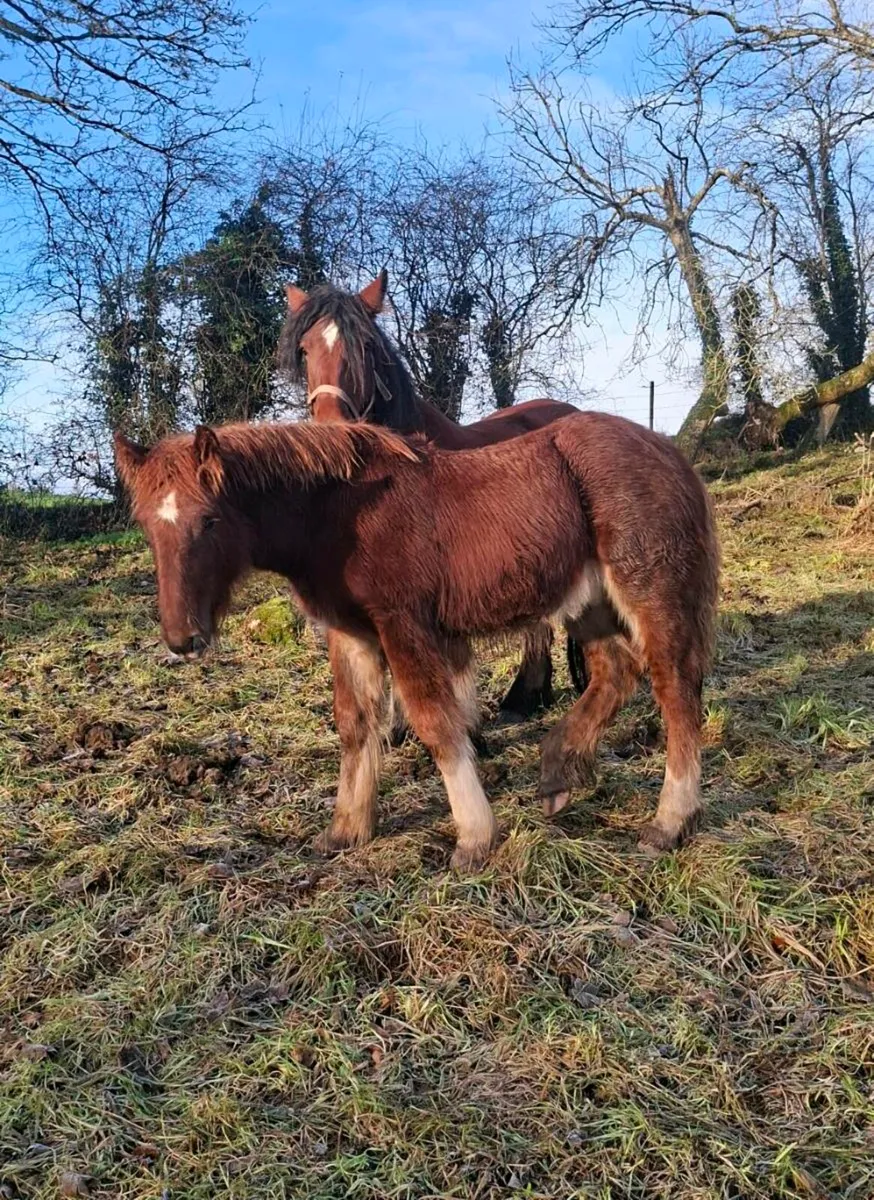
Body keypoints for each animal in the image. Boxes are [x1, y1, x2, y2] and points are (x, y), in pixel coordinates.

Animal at [114, 411, 719, 871]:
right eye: (146, 525)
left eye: (210, 520)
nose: (182, 639)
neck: (339, 514)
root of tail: (668, 450)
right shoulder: (352, 635)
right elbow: (355, 724)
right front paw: (346, 829)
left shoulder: (402, 625)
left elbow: (434, 722)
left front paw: (474, 838)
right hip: (588, 602)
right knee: (616, 671)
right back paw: (556, 773)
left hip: (649, 592)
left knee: (675, 688)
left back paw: (669, 821)